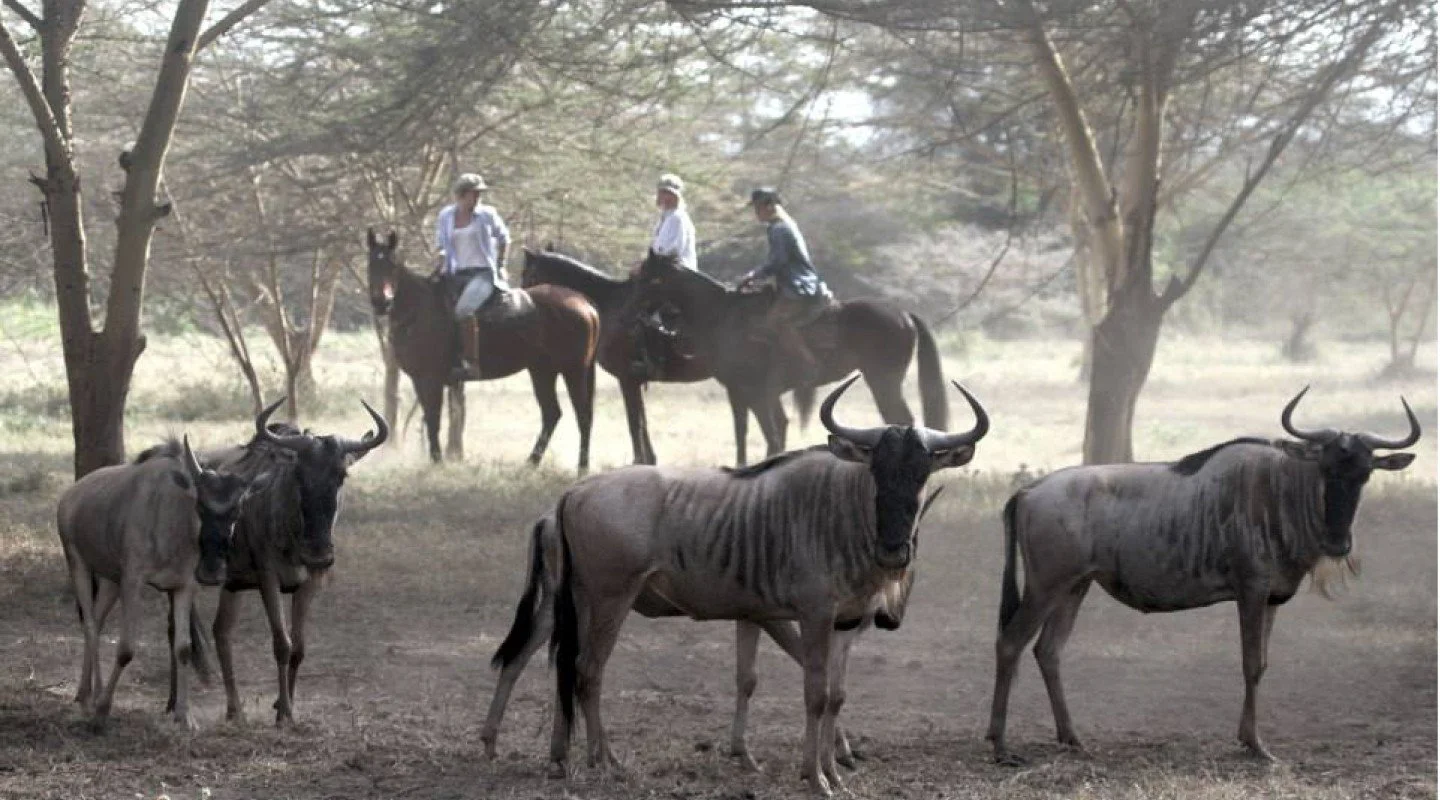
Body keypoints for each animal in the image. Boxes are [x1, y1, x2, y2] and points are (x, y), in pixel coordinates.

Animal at [365, 229, 600, 473]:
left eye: (393, 265)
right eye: (371, 264)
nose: (381, 302)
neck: (420, 310)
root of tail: (585, 303)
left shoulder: (431, 380)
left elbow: (434, 419)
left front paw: (437, 462)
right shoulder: (421, 380)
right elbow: (433, 419)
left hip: (574, 370)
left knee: (582, 415)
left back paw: (582, 467)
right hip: (543, 371)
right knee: (552, 413)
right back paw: (531, 463)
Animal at [521, 248, 773, 465]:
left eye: (528, 274)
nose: (523, 302)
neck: (609, 308)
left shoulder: (627, 379)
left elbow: (634, 423)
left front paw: (638, 461)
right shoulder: (634, 381)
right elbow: (641, 421)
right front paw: (649, 460)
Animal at [636, 249, 949, 464]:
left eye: (648, 277)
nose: (640, 312)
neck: (722, 317)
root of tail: (904, 314)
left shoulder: (753, 391)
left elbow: (767, 433)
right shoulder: (741, 392)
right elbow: (750, 432)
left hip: (883, 382)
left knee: (901, 419)